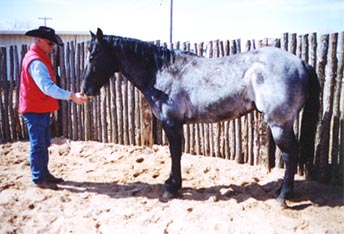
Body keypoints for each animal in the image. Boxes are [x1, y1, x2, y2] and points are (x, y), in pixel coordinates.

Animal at [81, 28, 320, 207]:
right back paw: (281, 191)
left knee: (290, 155)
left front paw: (172, 187)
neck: (162, 72)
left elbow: (175, 153)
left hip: (279, 124)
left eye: (93, 56)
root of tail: (301, 63)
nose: (84, 90)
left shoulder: (171, 123)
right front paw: (172, 183)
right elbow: (175, 154)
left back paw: (283, 196)